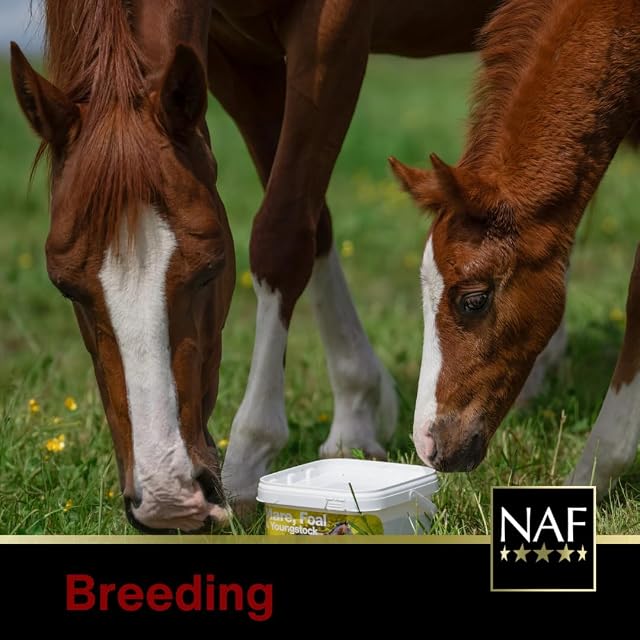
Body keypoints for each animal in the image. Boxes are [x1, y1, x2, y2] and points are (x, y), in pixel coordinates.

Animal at [11, 0, 501, 531]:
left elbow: (282, 234)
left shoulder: (333, 33)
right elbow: (315, 221)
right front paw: (356, 410)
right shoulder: (233, 57)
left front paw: (249, 457)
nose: (168, 500)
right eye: (66, 287)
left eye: (210, 269)